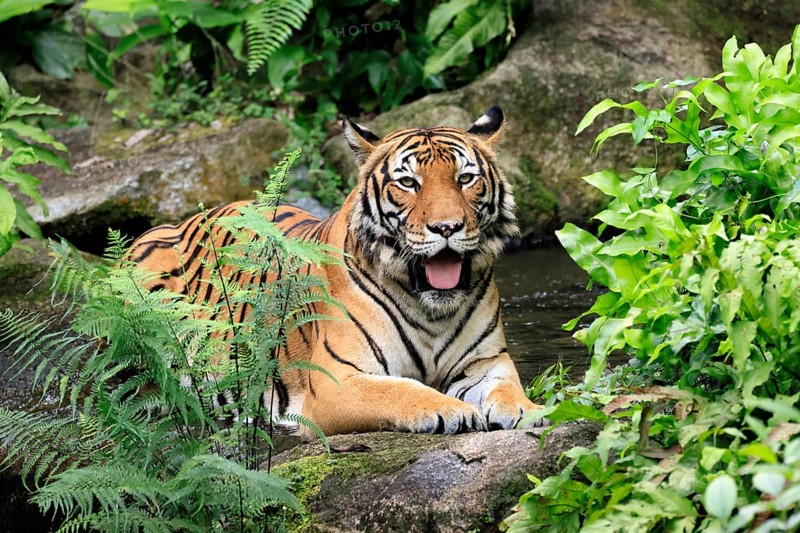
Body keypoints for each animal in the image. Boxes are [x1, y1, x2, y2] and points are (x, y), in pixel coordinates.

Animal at [127, 106, 545, 436]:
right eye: (408, 182)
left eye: (465, 178)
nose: (447, 228)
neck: (432, 308)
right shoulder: (337, 380)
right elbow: (399, 389)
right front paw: (452, 410)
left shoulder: (485, 363)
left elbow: (506, 388)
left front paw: (529, 410)